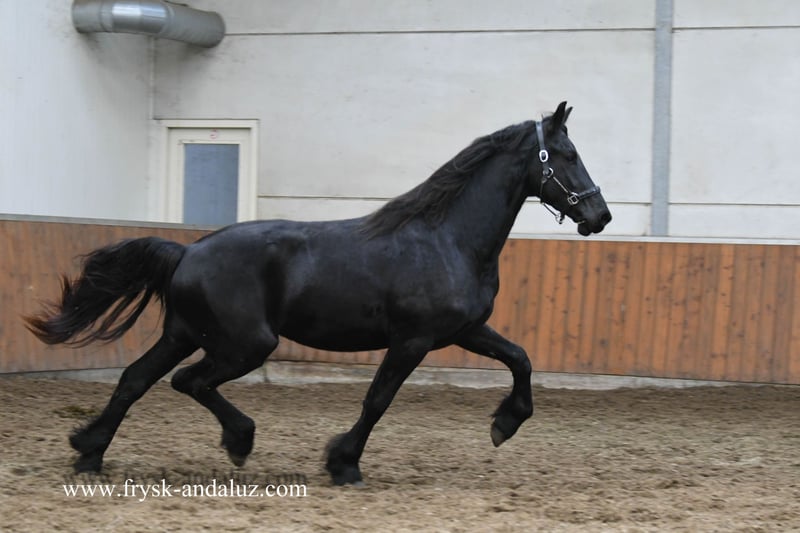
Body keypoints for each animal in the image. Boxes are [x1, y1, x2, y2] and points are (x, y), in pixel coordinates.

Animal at [25, 102, 611, 485]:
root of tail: (187, 253)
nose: (599, 215)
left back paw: (88, 452)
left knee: (136, 379)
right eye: (567, 154)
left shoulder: (465, 330)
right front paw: (343, 463)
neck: (447, 238)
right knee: (187, 381)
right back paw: (239, 440)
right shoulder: (413, 340)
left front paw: (504, 425)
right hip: (244, 344)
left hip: (186, 333)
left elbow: (521, 358)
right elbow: (378, 399)